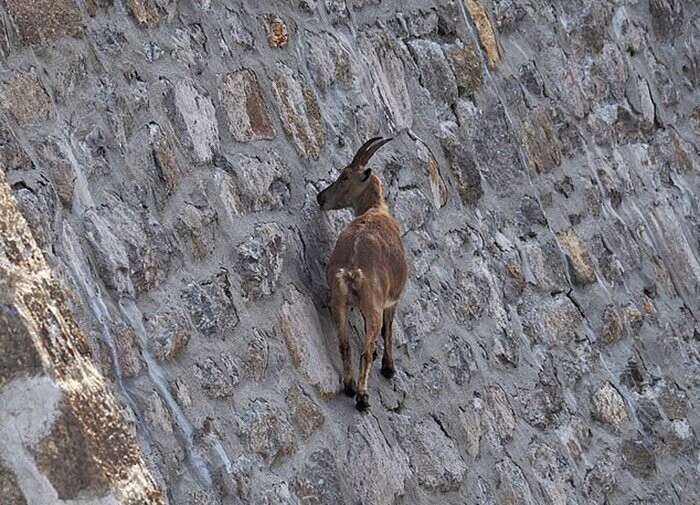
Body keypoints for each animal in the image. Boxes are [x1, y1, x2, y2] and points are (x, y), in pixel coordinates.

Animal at [316, 137, 408, 410]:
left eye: (345, 176)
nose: (320, 198)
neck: (376, 209)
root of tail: (351, 269)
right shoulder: (392, 300)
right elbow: (388, 329)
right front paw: (389, 367)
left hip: (339, 302)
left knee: (345, 344)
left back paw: (348, 386)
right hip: (372, 302)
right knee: (365, 349)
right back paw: (362, 396)